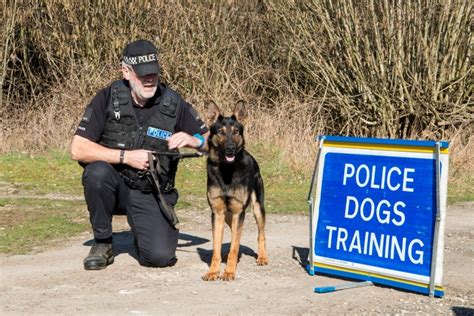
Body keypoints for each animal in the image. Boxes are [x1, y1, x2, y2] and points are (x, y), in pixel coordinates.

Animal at [202, 100, 268, 280]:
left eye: (236, 131)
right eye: (220, 132)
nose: (231, 148)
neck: (227, 169)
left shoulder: (239, 211)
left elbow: (234, 246)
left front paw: (230, 271)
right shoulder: (217, 213)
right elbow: (217, 248)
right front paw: (213, 271)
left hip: (257, 208)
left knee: (261, 235)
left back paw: (262, 257)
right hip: (228, 215)